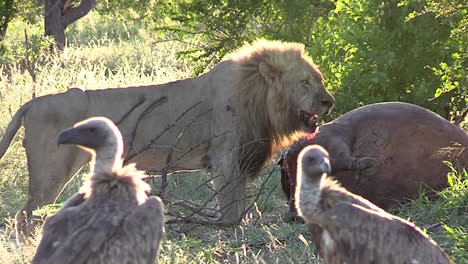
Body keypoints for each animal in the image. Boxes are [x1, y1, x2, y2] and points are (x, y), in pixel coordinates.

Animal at [0, 39, 332, 239]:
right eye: (304, 82)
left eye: (320, 80)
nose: (329, 102)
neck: (259, 98)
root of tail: (31, 104)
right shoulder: (224, 156)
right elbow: (230, 201)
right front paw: (232, 229)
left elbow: (235, 198)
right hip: (50, 174)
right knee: (24, 214)